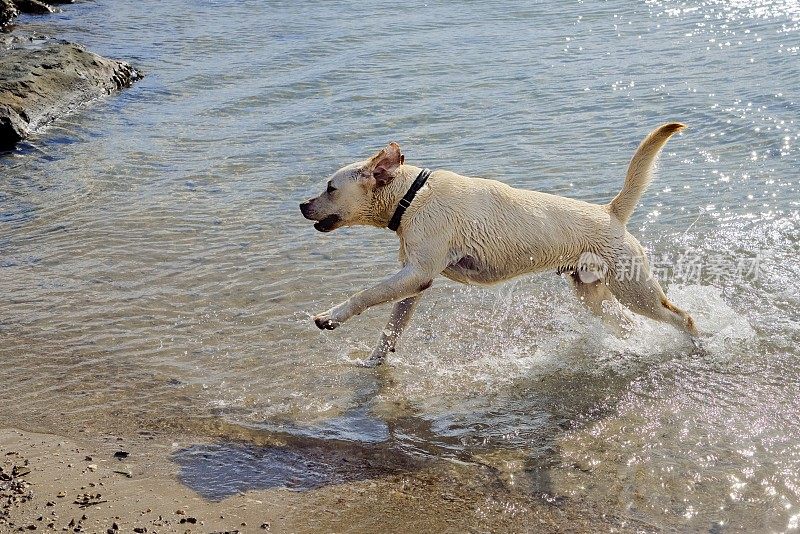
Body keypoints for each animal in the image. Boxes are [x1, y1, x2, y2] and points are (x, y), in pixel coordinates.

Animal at [296, 124, 696, 368]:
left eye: (330, 188)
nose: (301, 205)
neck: (411, 197)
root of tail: (610, 212)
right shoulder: (415, 282)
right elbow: (391, 329)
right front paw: (374, 361)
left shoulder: (415, 273)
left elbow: (364, 295)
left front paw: (329, 317)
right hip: (592, 293)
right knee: (626, 326)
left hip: (635, 290)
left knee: (683, 318)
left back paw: (697, 344)